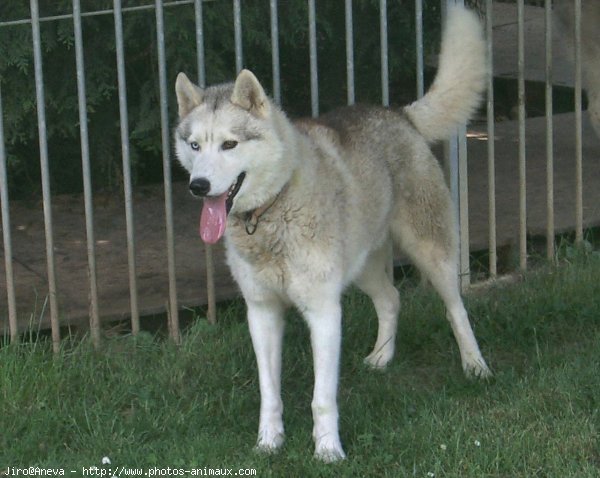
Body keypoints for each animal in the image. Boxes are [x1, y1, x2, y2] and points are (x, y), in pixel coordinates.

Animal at [175, 3, 492, 460]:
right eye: (195, 145)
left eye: (230, 144)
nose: (197, 186)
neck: (271, 212)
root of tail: (399, 114)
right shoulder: (262, 312)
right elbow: (270, 393)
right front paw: (268, 444)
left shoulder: (324, 311)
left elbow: (321, 397)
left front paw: (328, 450)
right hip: (361, 265)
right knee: (391, 298)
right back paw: (382, 358)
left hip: (432, 252)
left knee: (456, 308)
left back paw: (475, 366)